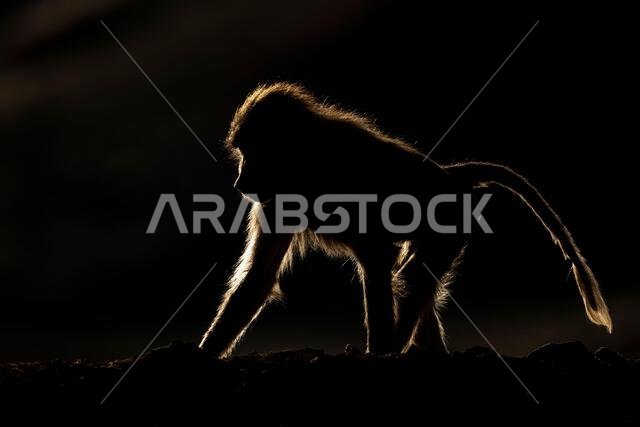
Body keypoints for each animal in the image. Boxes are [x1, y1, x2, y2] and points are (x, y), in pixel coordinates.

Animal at [199, 82, 612, 358]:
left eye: (250, 151)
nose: (239, 182)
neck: (305, 159)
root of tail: (448, 176)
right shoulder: (274, 201)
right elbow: (259, 278)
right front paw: (205, 354)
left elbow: (374, 255)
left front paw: (379, 349)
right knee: (415, 279)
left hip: (450, 224)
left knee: (410, 277)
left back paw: (396, 347)